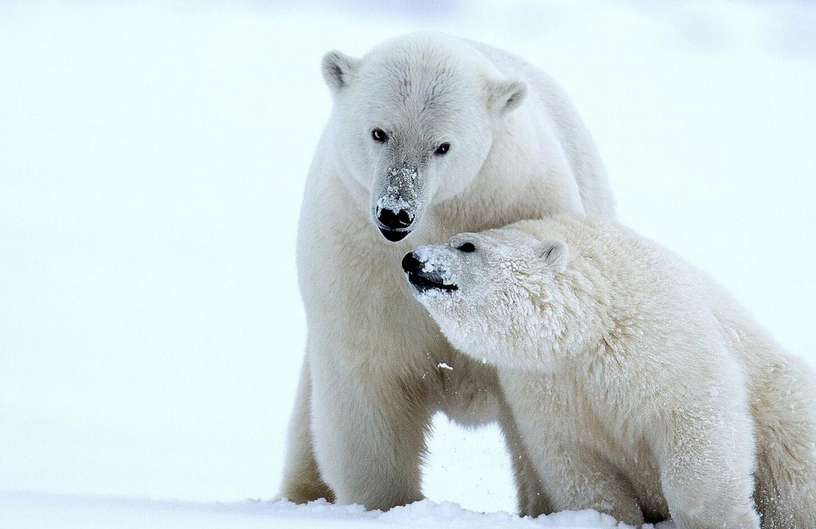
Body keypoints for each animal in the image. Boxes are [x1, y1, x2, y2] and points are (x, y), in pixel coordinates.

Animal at [280, 33, 612, 512]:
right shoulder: (354, 258)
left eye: (443, 146)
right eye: (379, 132)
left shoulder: (520, 202)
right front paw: (387, 505)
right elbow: (367, 385)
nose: (395, 213)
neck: (440, 217)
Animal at [402, 213, 816, 528]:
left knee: (795, 482)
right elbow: (577, 464)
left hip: (784, 411)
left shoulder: (658, 339)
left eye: (466, 245)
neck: (591, 322)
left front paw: (721, 519)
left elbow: (695, 424)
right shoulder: (547, 385)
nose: (411, 259)